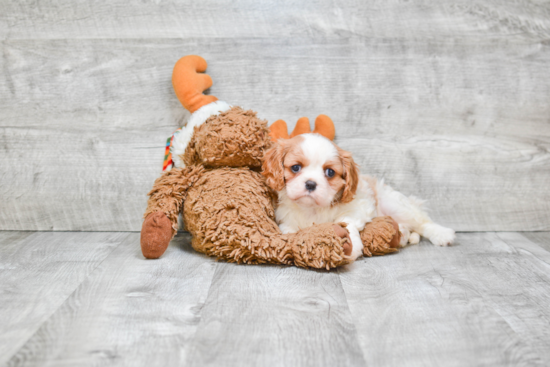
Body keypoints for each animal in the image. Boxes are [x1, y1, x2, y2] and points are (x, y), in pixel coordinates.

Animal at [264, 134, 458, 260]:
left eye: (329, 172)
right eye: (295, 168)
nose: (311, 184)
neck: (313, 210)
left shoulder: (359, 206)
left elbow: (346, 223)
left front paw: (352, 247)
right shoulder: (286, 217)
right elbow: (289, 230)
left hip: (394, 203)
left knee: (422, 222)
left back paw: (442, 234)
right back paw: (402, 234)